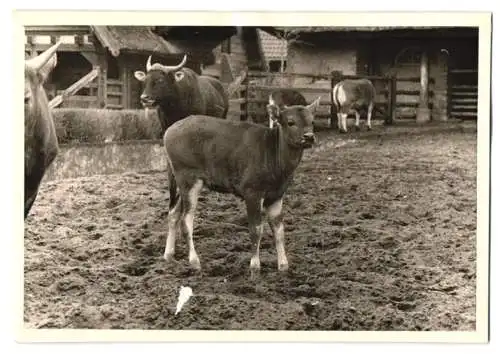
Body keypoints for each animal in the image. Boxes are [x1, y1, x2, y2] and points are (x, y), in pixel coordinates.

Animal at [162, 97, 322, 276]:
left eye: (312, 121)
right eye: (290, 122)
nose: (309, 137)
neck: (273, 157)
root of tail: (169, 131)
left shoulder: (276, 195)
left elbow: (278, 229)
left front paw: (283, 265)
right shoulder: (252, 192)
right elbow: (256, 228)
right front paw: (255, 266)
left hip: (178, 182)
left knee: (173, 214)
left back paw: (168, 254)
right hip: (189, 179)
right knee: (186, 219)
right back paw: (194, 262)